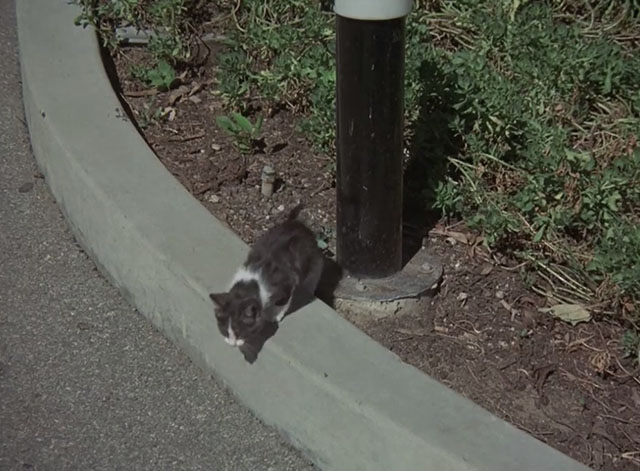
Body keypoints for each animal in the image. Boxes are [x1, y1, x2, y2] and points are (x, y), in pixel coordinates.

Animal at [209, 205, 322, 348]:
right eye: (224, 330)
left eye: (240, 332)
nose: (232, 344)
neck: (252, 281)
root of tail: (299, 224)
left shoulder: (288, 280)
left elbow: (284, 300)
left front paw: (275, 315)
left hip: (313, 259)